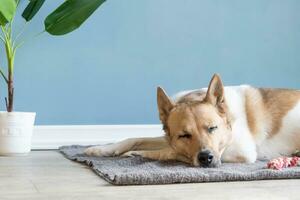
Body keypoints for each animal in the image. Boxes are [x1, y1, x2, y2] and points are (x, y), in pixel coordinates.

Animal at [84, 73, 300, 167]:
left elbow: (171, 152)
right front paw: (103, 149)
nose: (206, 158)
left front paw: (138, 154)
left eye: (212, 128)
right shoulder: (169, 136)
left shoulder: (242, 151)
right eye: (184, 135)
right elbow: (135, 138)